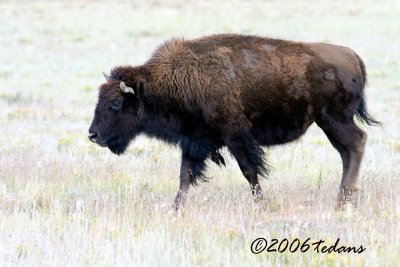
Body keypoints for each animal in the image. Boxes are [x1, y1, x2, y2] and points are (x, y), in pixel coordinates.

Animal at [87, 33, 378, 210]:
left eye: (115, 104)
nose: (93, 135)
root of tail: (352, 56)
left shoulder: (235, 137)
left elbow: (249, 171)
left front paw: (261, 205)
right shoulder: (194, 141)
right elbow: (184, 176)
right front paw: (175, 209)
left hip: (334, 119)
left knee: (356, 144)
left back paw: (343, 199)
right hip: (328, 124)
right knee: (346, 152)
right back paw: (344, 197)